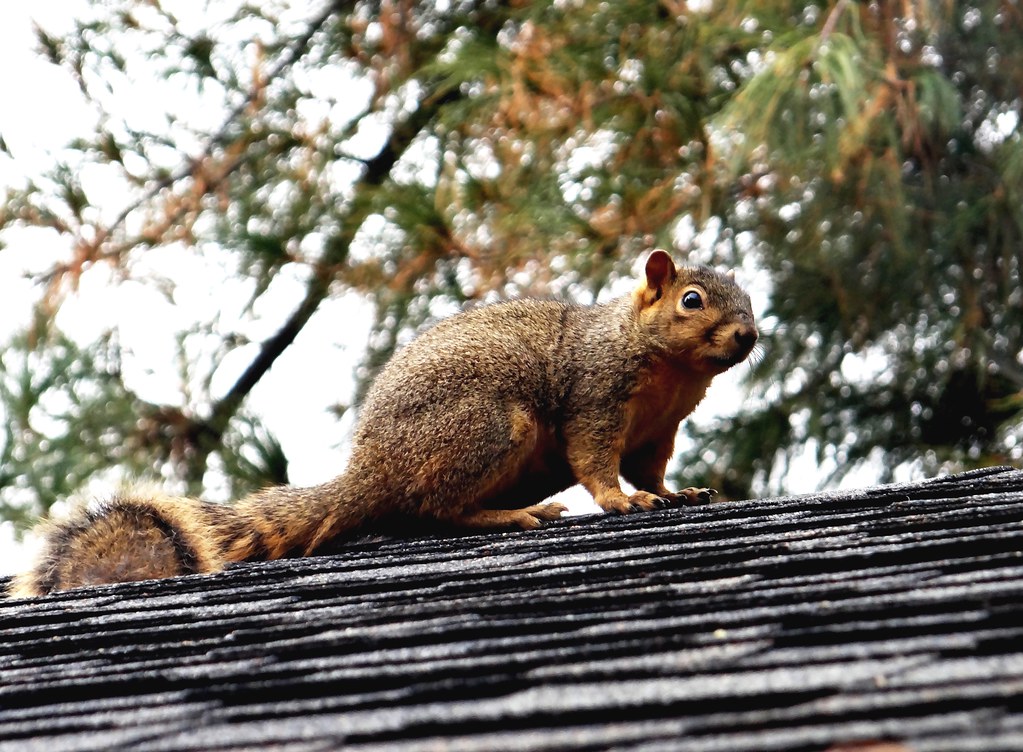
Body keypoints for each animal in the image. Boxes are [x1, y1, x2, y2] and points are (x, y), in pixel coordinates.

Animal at [9, 250, 757, 598]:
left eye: (749, 299)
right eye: (692, 300)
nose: (748, 336)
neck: (669, 371)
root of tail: (369, 472)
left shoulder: (659, 430)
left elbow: (650, 468)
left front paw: (675, 493)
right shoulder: (595, 395)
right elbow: (597, 460)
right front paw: (619, 502)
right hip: (490, 427)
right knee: (433, 507)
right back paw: (510, 515)